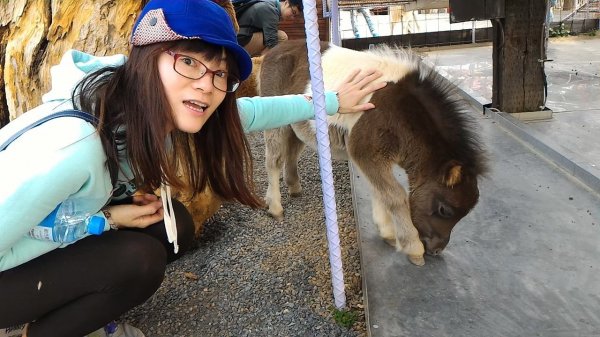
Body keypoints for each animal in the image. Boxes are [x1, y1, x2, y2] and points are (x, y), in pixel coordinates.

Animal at [258, 40, 488, 266]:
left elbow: (380, 191)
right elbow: (395, 195)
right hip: (274, 119)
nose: (436, 250)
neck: (397, 111)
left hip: (297, 124)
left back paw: (294, 187)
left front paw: (387, 232)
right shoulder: (365, 152)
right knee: (273, 160)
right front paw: (412, 247)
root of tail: (272, 51)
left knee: (292, 151)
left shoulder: (370, 158)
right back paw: (275, 207)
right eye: (444, 210)